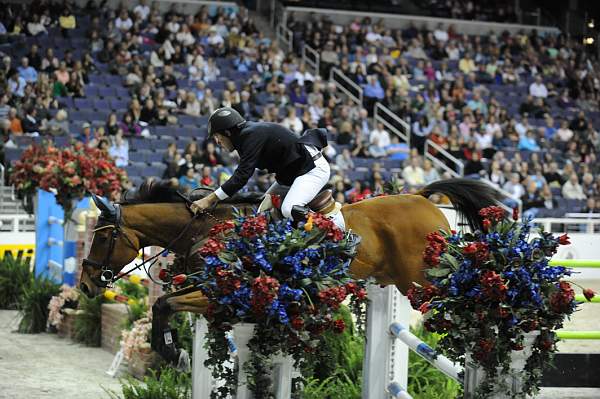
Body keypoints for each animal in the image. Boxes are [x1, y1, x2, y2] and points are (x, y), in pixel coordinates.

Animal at [78, 178, 502, 362]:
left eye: (102, 238)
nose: (85, 285)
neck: (203, 227)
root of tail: (424, 198)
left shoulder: (224, 291)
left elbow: (164, 304)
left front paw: (170, 352)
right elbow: (162, 304)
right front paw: (170, 349)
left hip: (425, 279)